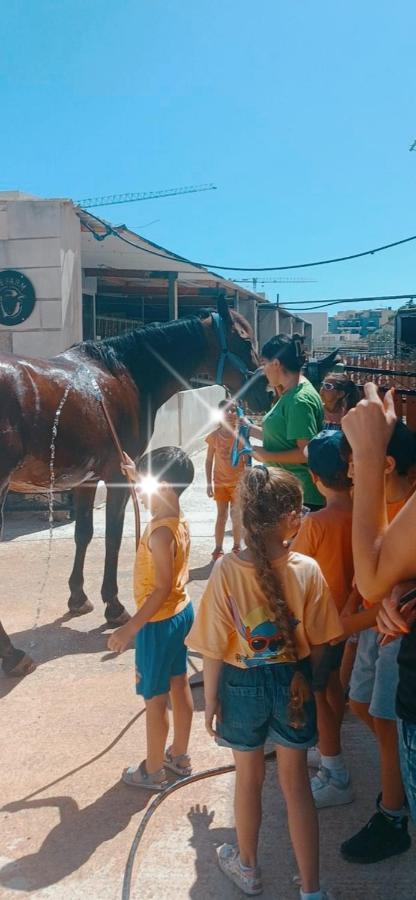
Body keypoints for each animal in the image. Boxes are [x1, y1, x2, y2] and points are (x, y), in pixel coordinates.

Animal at [0, 302, 270, 676]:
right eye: (244, 341)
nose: (267, 393)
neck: (123, 374)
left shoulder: (86, 480)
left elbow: (84, 534)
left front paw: (78, 598)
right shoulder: (117, 475)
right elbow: (112, 537)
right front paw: (113, 606)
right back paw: (12, 655)